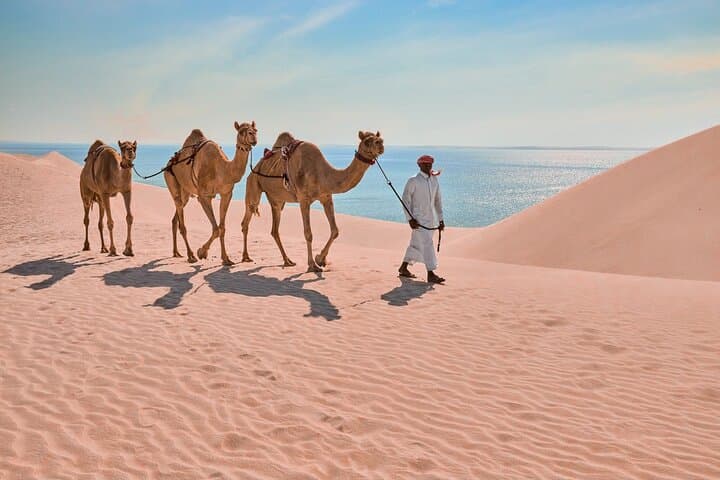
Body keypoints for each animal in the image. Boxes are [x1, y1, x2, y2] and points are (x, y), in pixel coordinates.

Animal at [165, 121, 257, 265]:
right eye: (241, 131)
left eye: (255, 130)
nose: (253, 137)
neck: (223, 169)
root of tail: (169, 163)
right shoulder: (204, 196)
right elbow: (216, 229)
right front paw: (201, 252)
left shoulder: (226, 194)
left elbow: (221, 228)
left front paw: (226, 258)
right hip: (170, 179)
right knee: (181, 218)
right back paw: (191, 255)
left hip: (185, 191)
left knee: (176, 217)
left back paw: (176, 252)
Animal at [241, 130, 384, 272]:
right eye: (367, 141)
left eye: (378, 138)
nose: (381, 144)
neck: (322, 174)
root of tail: (256, 166)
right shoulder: (304, 200)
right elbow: (308, 233)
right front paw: (312, 264)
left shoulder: (326, 197)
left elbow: (335, 231)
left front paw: (320, 259)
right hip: (253, 184)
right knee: (246, 219)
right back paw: (245, 257)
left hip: (277, 201)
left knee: (274, 230)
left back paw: (287, 261)